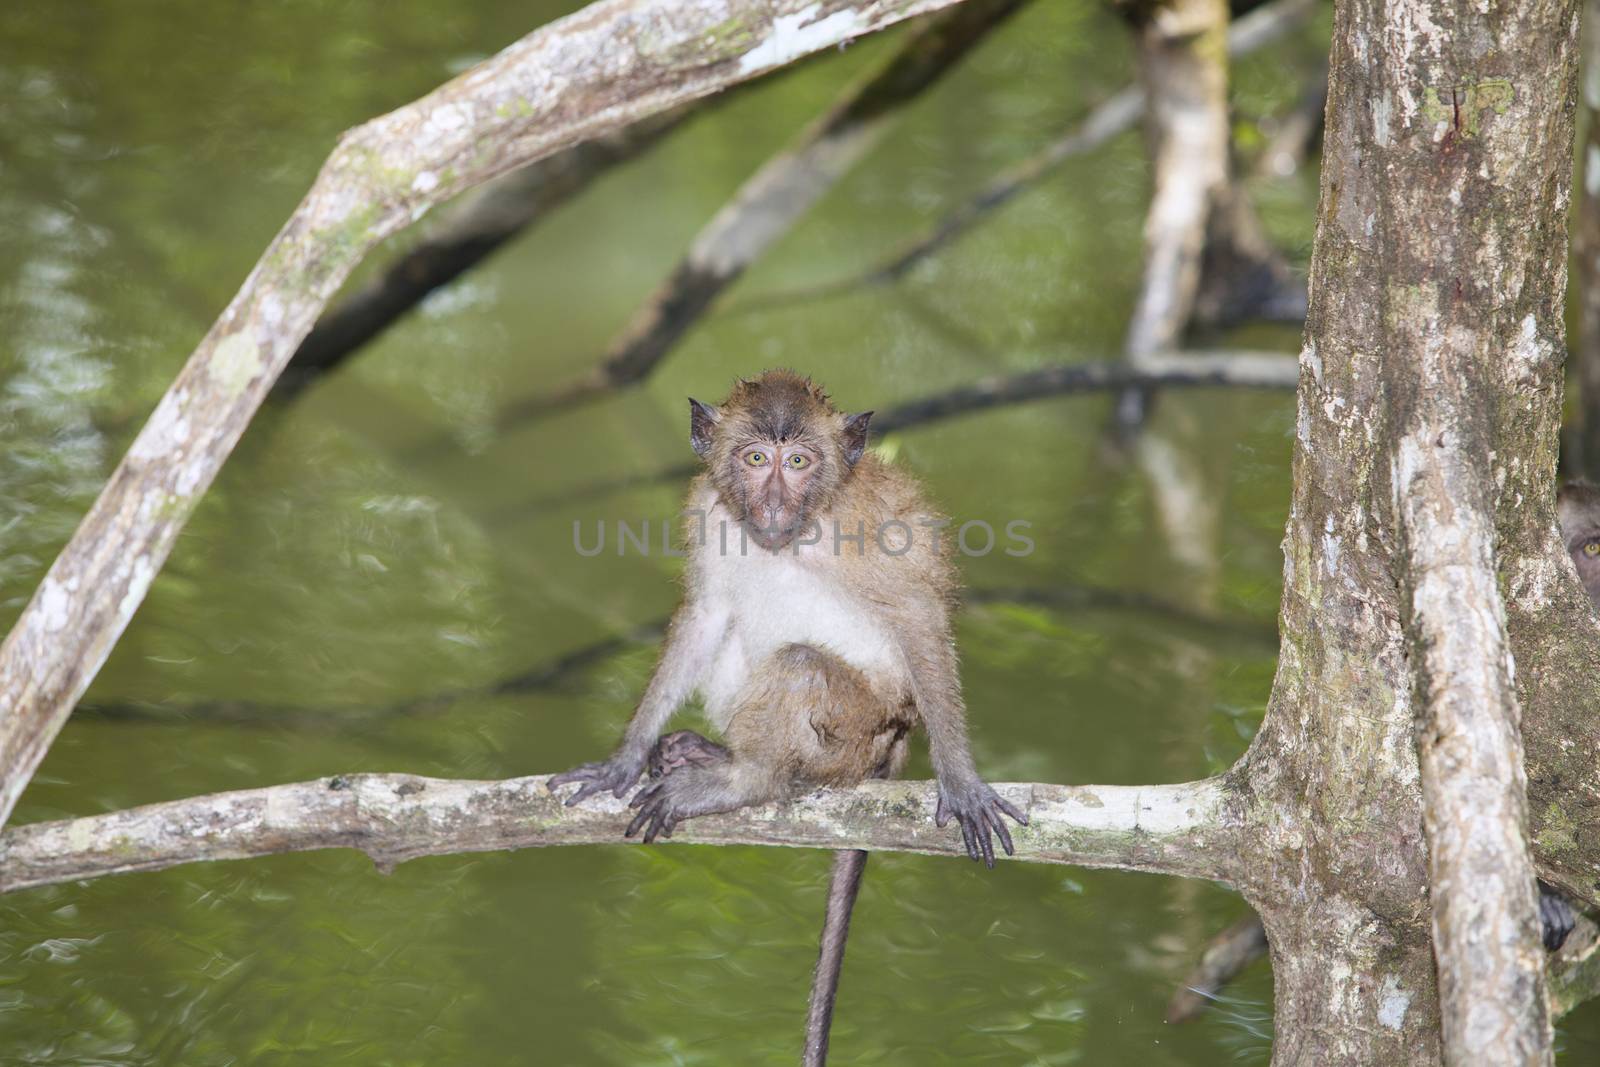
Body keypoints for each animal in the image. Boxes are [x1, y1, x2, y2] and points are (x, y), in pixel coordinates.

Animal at [550, 369, 1024, 1067]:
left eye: (797, 462)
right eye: (755, 459)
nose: (773, 504)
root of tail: (897, 737)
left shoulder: (865, 528)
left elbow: (916, 616)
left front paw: (962, 783)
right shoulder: (711, 510)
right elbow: (705, 615)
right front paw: (623, 760)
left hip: (857, 734)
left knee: (800, 665)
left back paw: (748, 779)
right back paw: (719, 757)